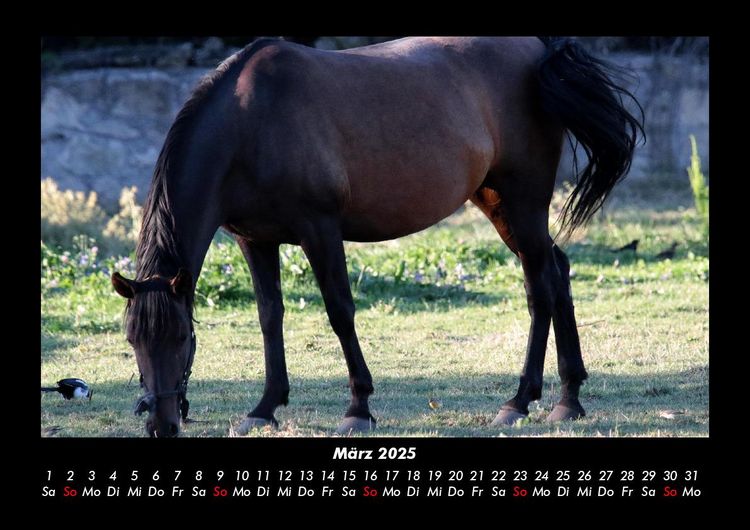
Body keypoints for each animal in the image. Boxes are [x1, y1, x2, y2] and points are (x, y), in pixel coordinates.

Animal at [111, 36, 643, 437]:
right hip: (497, 203)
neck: (251, 122)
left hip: (523, 201)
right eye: (133, 339)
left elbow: (340, 312)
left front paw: (358, 408)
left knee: (539, 288)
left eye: (182, 337)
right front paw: (264, 407)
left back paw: (519, 400)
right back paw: (568, 400)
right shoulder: (254, 240)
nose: (161, 424)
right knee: (558, 271)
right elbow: (269, 316)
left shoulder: (319, 229)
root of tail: (537, 50)